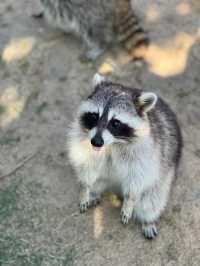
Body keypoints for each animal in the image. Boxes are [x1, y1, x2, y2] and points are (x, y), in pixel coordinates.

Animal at [67, 73, 183, 239]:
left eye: (115, 123)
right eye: (95, 116)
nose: (96, 142)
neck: (113, 143)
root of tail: (115, 189)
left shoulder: (147, 152)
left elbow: (138, 178)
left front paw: (130, 200)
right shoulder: (84, 142)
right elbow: (86, 166)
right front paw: (85, 188)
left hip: (163, 181)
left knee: (151, 201)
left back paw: (147, 220)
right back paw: (93, 193)